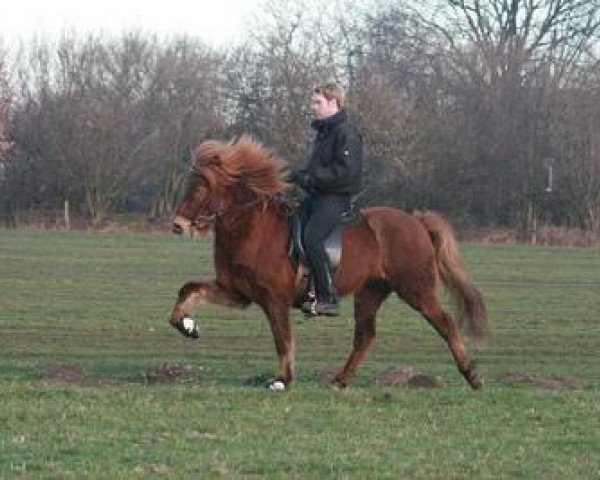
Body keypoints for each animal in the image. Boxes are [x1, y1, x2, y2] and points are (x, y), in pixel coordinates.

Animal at [169, 135, 488, 390]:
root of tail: (417, 221)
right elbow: (189, 289)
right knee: (365, 336)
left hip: (416, 290)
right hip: (371, 291)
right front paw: (187, 325)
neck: (252, 228)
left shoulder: (274, 299)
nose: (177, 225)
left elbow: (282, 338)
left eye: (202, 186)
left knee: (445, 323)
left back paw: (472, 376)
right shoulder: (238, 293)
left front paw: (282, 380)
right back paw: (339, 380)